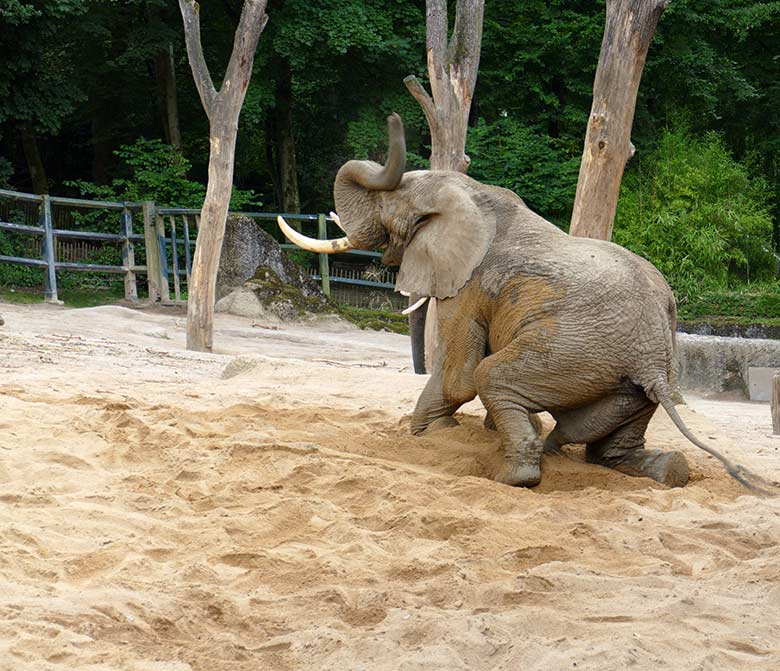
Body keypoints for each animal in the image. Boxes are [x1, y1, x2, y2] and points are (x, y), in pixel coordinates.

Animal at [278, 114, 772, 494]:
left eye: (386, 211)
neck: (472, 193)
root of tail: (650, 356)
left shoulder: (469, 287)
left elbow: (460, 378)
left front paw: (429, 437)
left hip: (573, 348)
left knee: (492, 377)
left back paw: (514, 476)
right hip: (642, 370)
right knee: (609, 430)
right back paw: (662, 470)